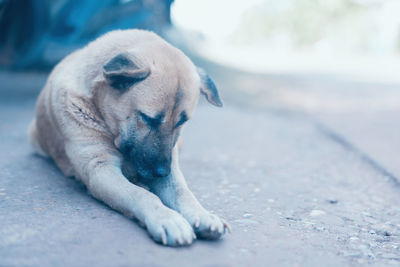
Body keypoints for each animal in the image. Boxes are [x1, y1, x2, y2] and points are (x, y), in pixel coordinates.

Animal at [28, 29, 231, 247]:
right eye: (148, 119)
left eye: (182, 121)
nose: (161, 172)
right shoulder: (100, 170)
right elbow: (141, 195)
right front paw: (167, 218)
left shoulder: (171, 169)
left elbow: (182, 192)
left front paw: (203, 214)